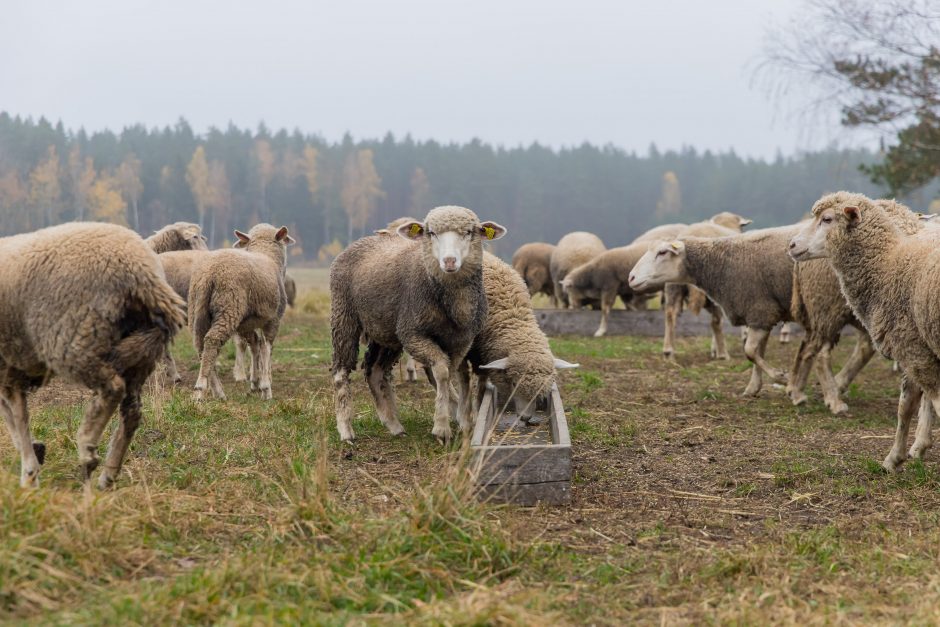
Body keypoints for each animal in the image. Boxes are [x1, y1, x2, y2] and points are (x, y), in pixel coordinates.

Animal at [0, 221, 185, 490]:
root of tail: (141, 271)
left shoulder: (9, 367)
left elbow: (17, 417)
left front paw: (30, 474)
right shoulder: (9, 369)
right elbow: (13, 416)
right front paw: (35, 454)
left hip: (76, 341)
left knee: (112, 389)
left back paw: (87, 447)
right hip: (141, 354)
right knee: (132, 412)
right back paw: (108, 475)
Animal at [188, 224, 294, 402]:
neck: (267, 255)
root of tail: (209, 273)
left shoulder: (246, 325)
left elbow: (256, 345)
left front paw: (256, 382)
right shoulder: (273, 319)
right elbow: (266, 348)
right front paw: (266, 388)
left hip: (197, 312)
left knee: (201, 347)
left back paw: (218, 391)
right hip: (229, 308)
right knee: (212, 341)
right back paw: (200, 389)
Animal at [330, 206, 506, 442]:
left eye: (469, 232)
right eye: (431, 233)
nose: (449, 261)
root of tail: (361, 241)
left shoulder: (462, 340)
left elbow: (454, 373)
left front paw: (464, 421)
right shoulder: (414, 334)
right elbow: (441, 371)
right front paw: (441, 428)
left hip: (386, 331)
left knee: (374, 370)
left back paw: (393, 424)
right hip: (344, 315)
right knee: (341, 372)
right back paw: (346, 430)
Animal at [632, 228, 800, 398]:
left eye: (662, 252)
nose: (631, 277)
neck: (720, 263)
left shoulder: (760, 311)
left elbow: (750, 351)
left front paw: (782, 377)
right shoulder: (763, 314)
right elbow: (757, 352)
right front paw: (753, 387)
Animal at [788, 193, 940, 472]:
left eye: (827, 219)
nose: (791, 244)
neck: (888, 263)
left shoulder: (913, 348)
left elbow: (915, 404)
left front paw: (901, 454)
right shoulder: (917, 347)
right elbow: (908, 405)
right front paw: (902, 454)